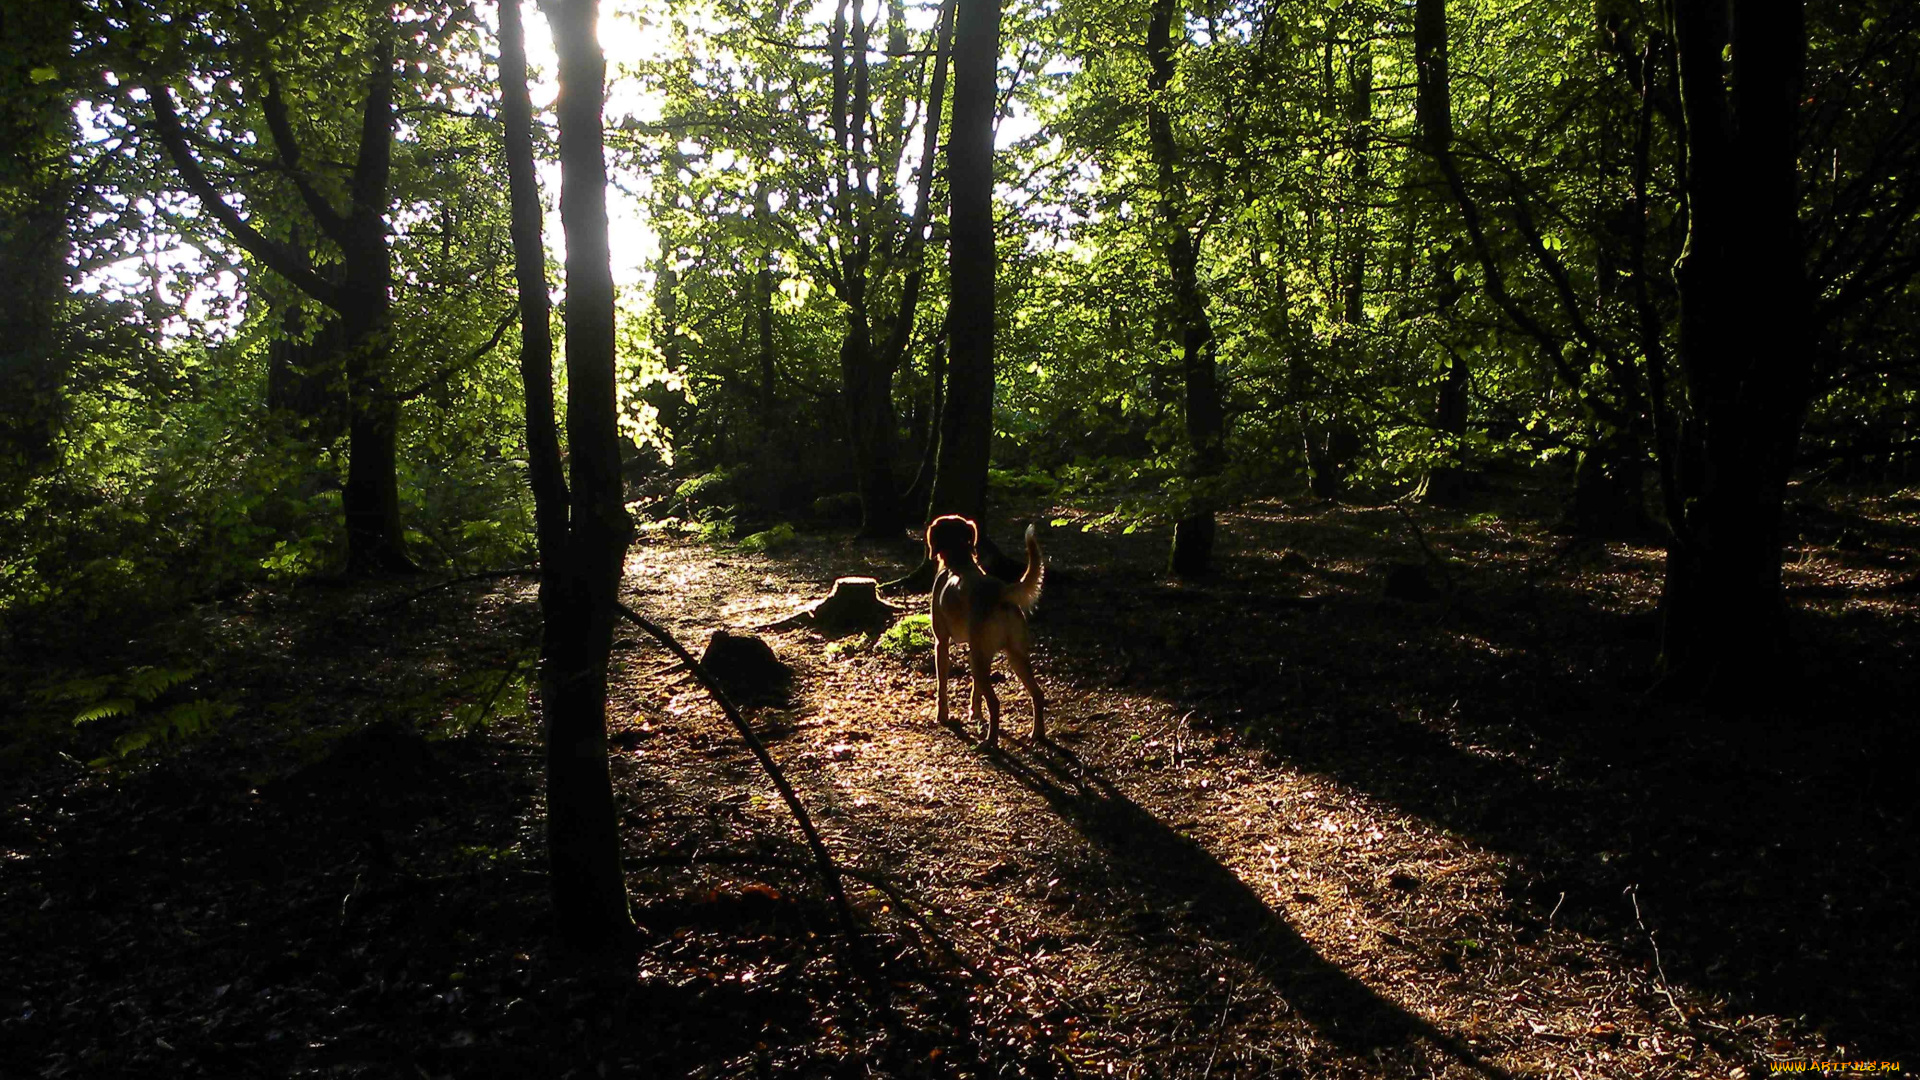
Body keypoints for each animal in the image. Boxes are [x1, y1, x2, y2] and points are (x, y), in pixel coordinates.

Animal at [921, 511, 1044, 745]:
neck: (959, 561)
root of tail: (1001, 591)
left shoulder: (941, 643)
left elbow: (942, 685)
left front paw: (942, 716)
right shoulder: (976, 649)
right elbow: (976, 689)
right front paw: (975, 713)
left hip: (981, 658)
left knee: (995, 703)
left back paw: (990, 742)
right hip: (1014, 656)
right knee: (1037, 693)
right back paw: (1037, 734)